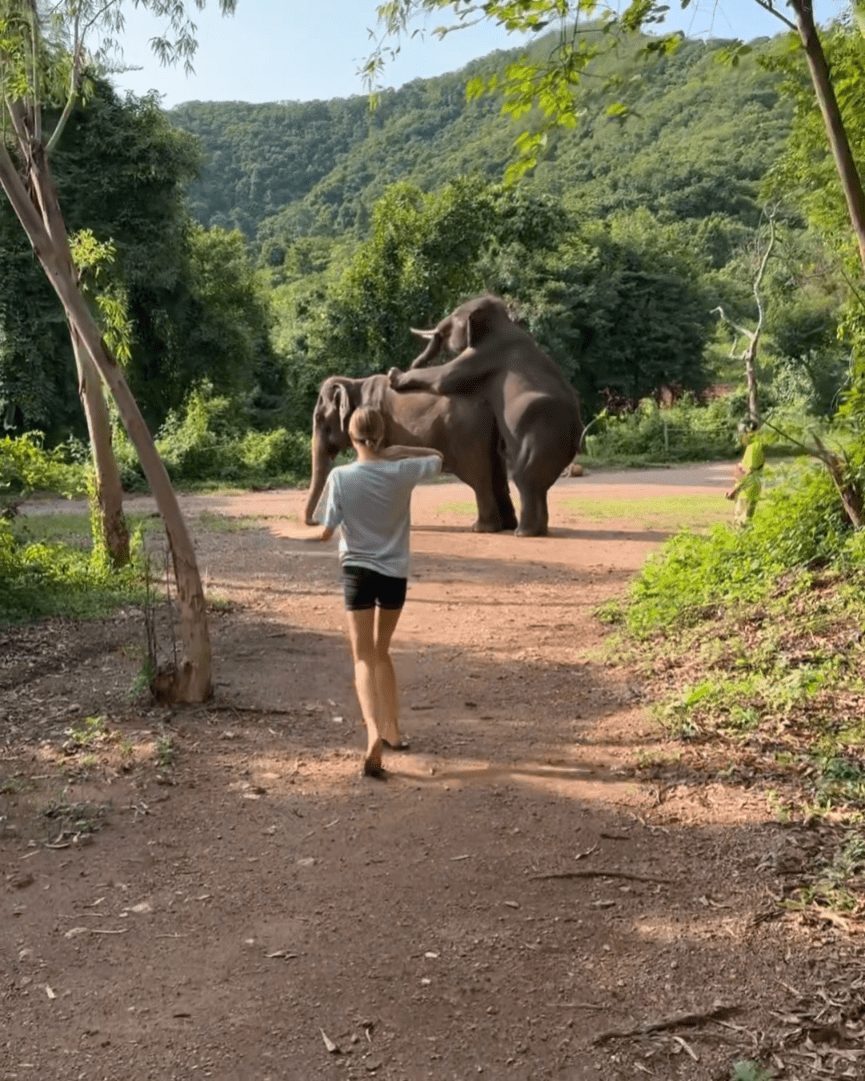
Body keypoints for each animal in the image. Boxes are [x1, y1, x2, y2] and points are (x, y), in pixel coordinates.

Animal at [304, 374, 516, 534]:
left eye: (319, 418)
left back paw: (483, 528)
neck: (353, 382)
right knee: (498, 477)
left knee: (478, 478)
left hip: (469, 436)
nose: (314, 522)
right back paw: (507, 526)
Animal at [389, 296, 583, 536]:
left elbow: (443, 378)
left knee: (524, 477)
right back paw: (536, 530)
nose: (412, 362)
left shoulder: (483, 355)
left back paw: (523, 533)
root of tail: (577, 431)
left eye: (455, 317)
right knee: (538, 484)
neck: (501, 320)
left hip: (541, 435)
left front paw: (394, 375)